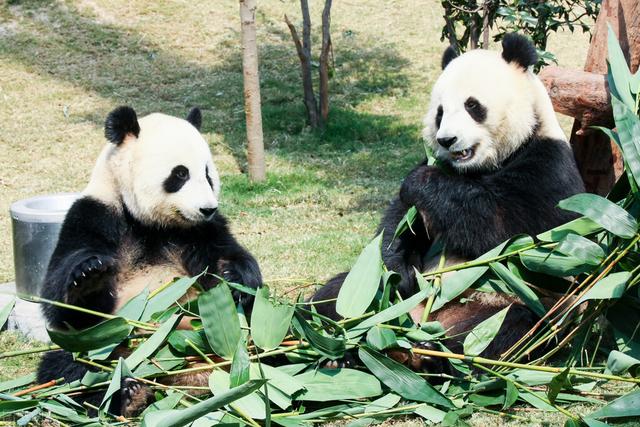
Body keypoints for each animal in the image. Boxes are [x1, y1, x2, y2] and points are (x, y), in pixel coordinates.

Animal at [37, 106, 262, 418]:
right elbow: (63, 306)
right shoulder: (95, 215)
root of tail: (177, 378)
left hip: (247, 339)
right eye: (180, 174)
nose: (207, 208)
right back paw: (128, 396)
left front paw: (234, 277)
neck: (150, 223)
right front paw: (89, 277)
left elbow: (229, 257)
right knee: (70, 371)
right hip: (99, 349)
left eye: (208, 174)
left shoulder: (201, 232)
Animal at [310, 34, 584, 372]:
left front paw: (421, 181)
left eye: (473, 106)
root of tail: (421, 321)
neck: (479, 167)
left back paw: (432, 358)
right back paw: (333, 346)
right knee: (335, 296)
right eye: (440, 111)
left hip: (510, 305)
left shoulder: (549, 170)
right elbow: (395, 229)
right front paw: (402, 273)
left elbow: (508, 230)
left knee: (512, 329)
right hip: (364, 294)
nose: (446, 140)